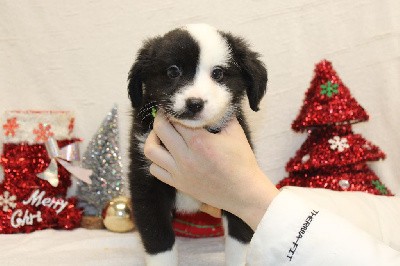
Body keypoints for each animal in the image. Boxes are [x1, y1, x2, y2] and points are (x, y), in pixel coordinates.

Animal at [126, 23, 268, 264]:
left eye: (218, 73)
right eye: (173, 71)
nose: (194, 103)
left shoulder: (235, 191)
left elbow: (239, 238)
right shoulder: (146, 183)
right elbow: (159, 241)